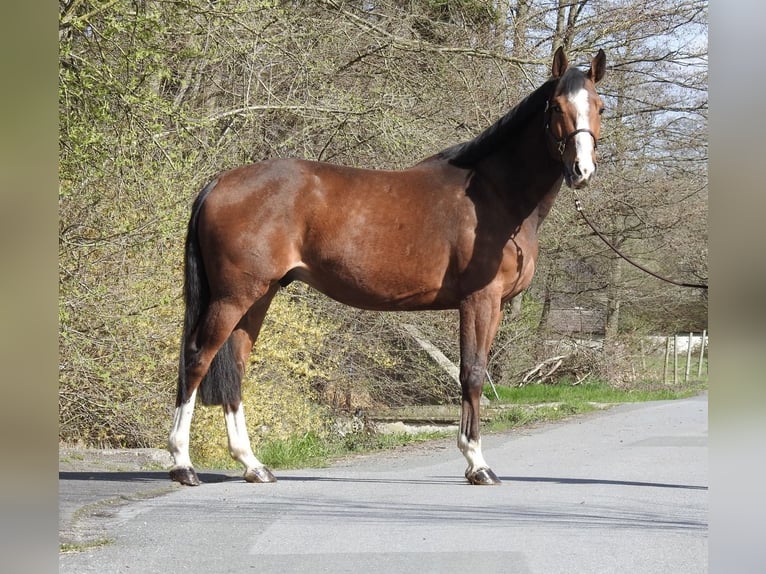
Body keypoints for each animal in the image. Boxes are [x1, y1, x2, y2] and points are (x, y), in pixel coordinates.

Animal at [168, 47, 606, 487]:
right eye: (557, 107)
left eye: (599, 106)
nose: (582, 171)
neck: (493, 195)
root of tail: (220, 182)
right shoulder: (480, 300)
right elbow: (473, 372)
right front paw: (477, 463)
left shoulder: (493, 305)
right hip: (233, 297)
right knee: (197, 359)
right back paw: (183, 464)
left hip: (258, 296)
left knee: (236, 368)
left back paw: (253, 465)